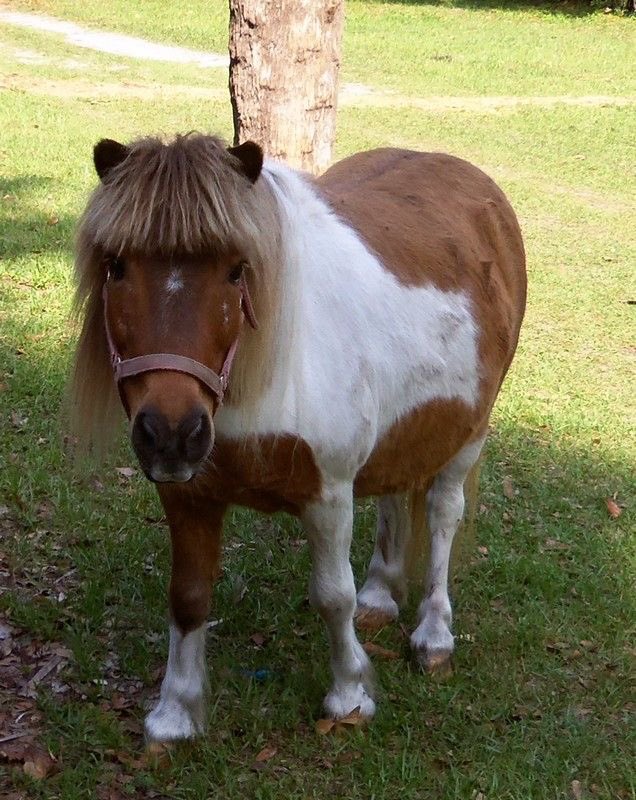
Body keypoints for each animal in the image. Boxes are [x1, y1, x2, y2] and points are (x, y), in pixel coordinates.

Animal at [70, 133, 526, 743]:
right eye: (117, 266)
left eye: (236, 271)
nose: (171, 433)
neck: (263, 371)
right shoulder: (187, 495)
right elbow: (188, 599)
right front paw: (174, 717)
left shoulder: (327, 495)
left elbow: (333, 596)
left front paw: (349, 696)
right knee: (393, 495)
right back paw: (380, 596)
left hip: (469, 434)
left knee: (442, 514)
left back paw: (433, 636)